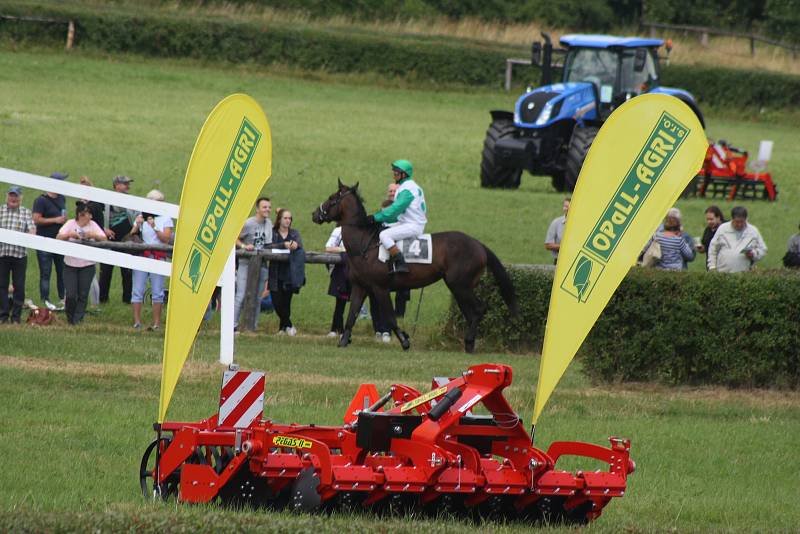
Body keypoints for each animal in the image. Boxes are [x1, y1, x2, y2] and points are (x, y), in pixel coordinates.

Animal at [310, 182, 516, 354]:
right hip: (460, 287)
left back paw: (470, 342)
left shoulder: (380, 288)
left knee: (478, 309)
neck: (364, 243)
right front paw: (344, 341)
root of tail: (479, 245)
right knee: (471, 312)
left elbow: (390, 318)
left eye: (331, 198)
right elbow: (351, 315)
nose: (314, 214)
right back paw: (468, 342)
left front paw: (404, 341)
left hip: (460, 285)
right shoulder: (360, 287)